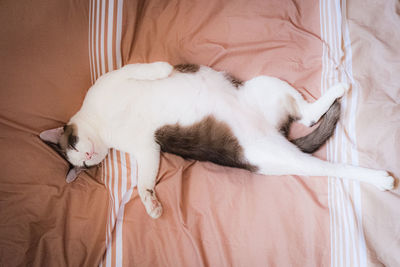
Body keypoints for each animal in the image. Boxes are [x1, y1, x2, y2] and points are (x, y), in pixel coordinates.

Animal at [39, 61, 394, 219]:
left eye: (73, 144)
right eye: (81, 166)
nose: (86, 158)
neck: (105, 125)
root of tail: (274, 130)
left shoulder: (116, 76)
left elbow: (149, 68)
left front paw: (164, 69)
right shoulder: (147, 148)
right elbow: (144, 181)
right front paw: (151, 205)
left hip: (265, 84)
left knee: (307, 115)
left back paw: (338, 90)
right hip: (273, 151)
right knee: (314, 139)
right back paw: (381, 178)